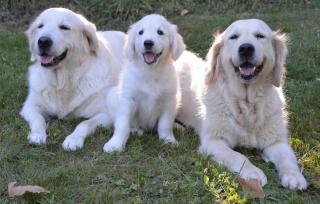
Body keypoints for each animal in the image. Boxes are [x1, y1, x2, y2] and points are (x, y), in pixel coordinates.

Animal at [20, 7, 127, 151]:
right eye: (40, 26)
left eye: (64, 27)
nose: (43, 41)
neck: (64, 80)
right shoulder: (30, 106)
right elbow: (38, 119)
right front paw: (37, 135)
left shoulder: (107, 113)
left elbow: (84, 124)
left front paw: (73, 140)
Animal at [104, 13, 185, 152]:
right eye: (141, 32)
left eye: (160, 32)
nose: (148, 43)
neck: (150, 71)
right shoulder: (128, 100)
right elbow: (122, 125)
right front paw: (115, 144)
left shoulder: (169, 100)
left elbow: (165, 124)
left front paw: (168, 140)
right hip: (111, 96)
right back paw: (136, 131)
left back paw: (177, 126)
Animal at [178, 19, 308, 190]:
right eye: (233, 37)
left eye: (260, 36)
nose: (246, 48)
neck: (246, 102)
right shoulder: (213, 141)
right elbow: (237, 156)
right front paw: (253, 172)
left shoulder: (276, 140)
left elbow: (287, 158)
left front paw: (294, 176)